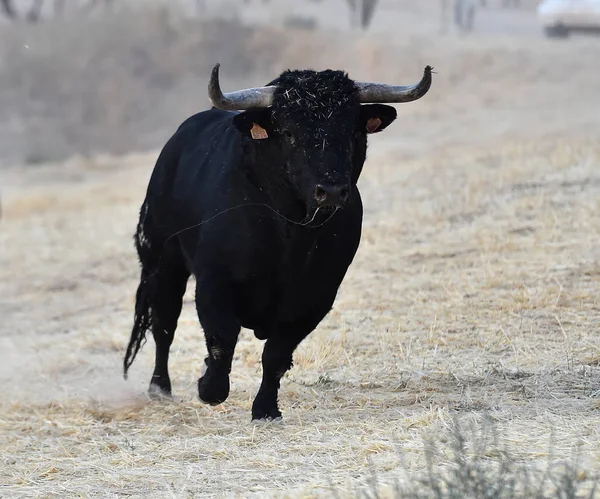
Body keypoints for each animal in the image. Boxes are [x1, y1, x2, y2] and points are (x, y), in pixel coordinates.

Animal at [124, 63, 432, 422]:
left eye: (353, 132)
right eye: (288, 133)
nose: (330, 191)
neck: (289, 235)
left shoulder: (315, 298)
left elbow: (276, 354)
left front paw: (266, 409)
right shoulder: (215, 283)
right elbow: (221, 341)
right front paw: (207, 387)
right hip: (163, 263)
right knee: (164, 324)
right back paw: (160, 388)